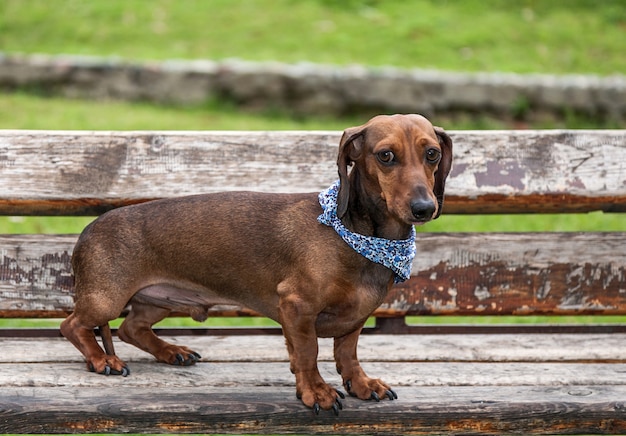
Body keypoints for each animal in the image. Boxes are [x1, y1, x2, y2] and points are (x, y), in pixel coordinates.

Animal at [59, 114, 448, 414]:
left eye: (432, 153)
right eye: (385, 156)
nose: (424, 208)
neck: (355, 233)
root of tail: (87, 229)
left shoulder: (356, 315)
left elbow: (347, 352)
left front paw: (362, 384)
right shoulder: (296, 307)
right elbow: (308, 353)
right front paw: (316, 392)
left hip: (159, 301)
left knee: (130, 328)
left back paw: (172, 351)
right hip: (106, 300)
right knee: (73, 325)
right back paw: (101, 360)